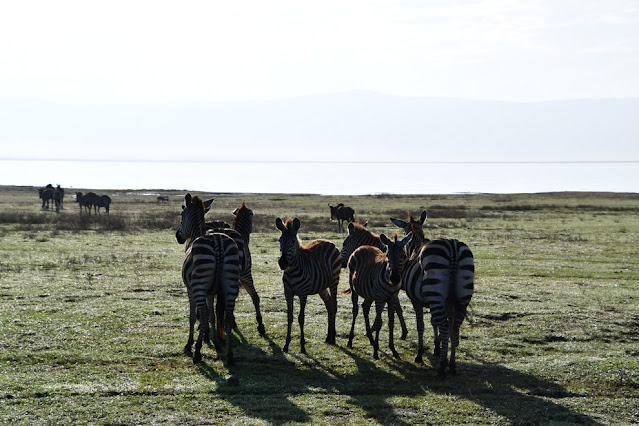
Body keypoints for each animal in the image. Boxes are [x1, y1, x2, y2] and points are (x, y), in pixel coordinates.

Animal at [175, 195, 240, 364]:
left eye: (181, 215)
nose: (178, 236)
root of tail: (218, 243)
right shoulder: (211, 293)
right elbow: (212, 315)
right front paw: (215, 341)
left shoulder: (190, 289)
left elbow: (194, 315)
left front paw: (190, 343)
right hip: (230, 283)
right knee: (228, 315)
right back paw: (230, 355)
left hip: (199, 285)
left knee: (203, 313)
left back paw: (197, 353)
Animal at [276, 216, 342, 352]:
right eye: (280, 240)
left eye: (292, 241)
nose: (282, 263)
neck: (292, 271)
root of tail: (327, 241)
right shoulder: (288, 293)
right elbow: (289, 317)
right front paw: (286, 344)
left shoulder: (302, 294)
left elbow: (301, 318)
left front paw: (302, 346)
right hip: (321, 287)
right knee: (328, 304)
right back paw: (328, 337)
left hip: (334, 281)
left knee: (333, 305)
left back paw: (333, 338)